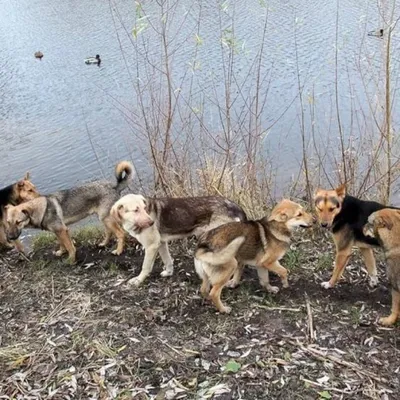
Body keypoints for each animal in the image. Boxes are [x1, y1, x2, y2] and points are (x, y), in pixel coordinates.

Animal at [5, 161, 133, 258]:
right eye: (8, 222)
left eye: (18, 222)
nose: (9, 238)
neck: (42, 209)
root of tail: (115, 186)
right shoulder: (57, 232)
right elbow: (61, 244)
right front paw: (61, 252)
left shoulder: (62, 230)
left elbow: (70, 247)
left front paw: (71, 260)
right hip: (103, 218)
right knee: (109, 232)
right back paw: (103, 244)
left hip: (106, 219)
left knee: (121, 234)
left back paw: (118, 251)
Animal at [110, 195, 247, 286]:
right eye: (136, 210)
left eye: (145, 208)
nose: (151, 222)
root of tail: (235, 206)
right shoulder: (161, 244)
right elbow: (167, 260)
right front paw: (169, 273)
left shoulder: (151, 246)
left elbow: (145, 266)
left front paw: (138, 280)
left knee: (238, 263)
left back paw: (232, 282)